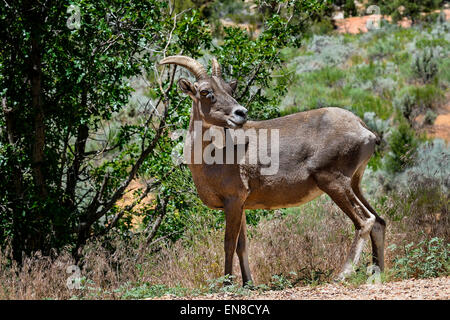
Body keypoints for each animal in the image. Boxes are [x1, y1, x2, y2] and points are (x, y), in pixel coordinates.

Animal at [159, 55, 386, 284]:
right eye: (206, 91)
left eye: (229, 89)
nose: (241, 113)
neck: (216, 154)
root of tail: (363, 129)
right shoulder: (240, 206)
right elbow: (242, 245)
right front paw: (248, 284)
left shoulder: (233, 201)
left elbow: (229, 244)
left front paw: (227, 283)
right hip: (354, 184)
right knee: (379, 222)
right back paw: (376, 274)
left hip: (334, 183)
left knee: (365, 221)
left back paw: (343, 273)